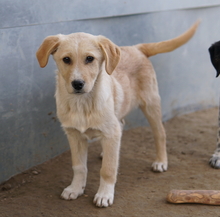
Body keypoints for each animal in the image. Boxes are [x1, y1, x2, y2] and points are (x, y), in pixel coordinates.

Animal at [35, 21, 199, 208]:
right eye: (66, 59)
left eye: (90, 59)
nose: (77, 84)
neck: (82, 103)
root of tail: (137, 48)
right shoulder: (74, 135)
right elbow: (79, 166)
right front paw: (75, 189)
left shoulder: (111, 133)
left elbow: (107, 169)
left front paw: (104, 194)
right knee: (121, 128)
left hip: (151, 104)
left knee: (160, 133)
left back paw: (161, 162)